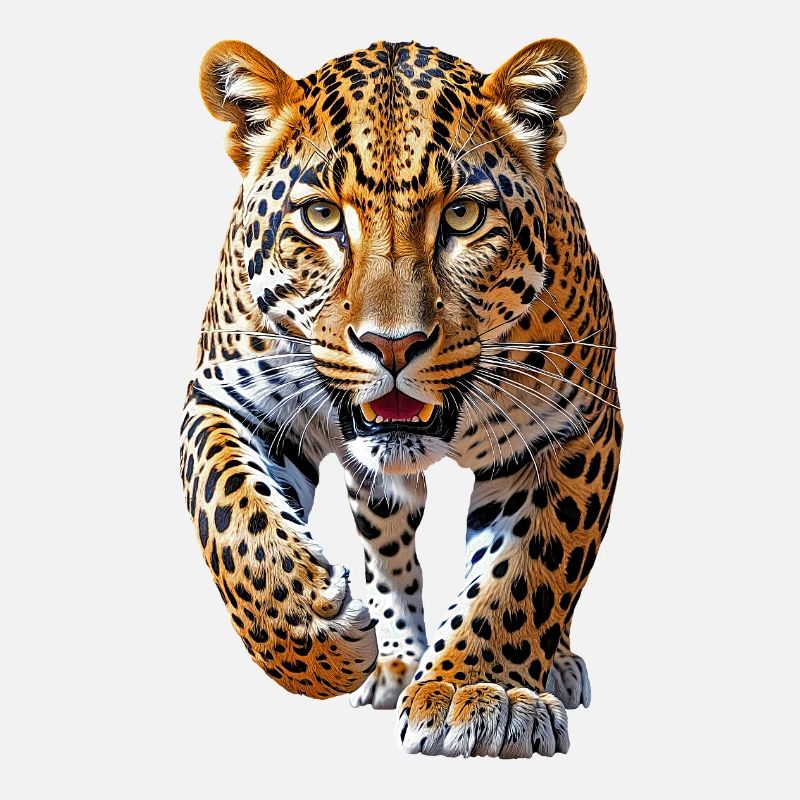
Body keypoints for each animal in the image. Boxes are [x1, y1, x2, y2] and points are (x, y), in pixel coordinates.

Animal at [180, 37, 622, 759]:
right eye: (322, 216)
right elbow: (234, 519)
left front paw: (480, 690)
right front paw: (316, 631)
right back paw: (392, 658)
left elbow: (526, 572)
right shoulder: (229, 397)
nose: (393, 346)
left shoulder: (573, 426)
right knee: (387, 542)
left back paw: (551, 664)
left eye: (464, 216)